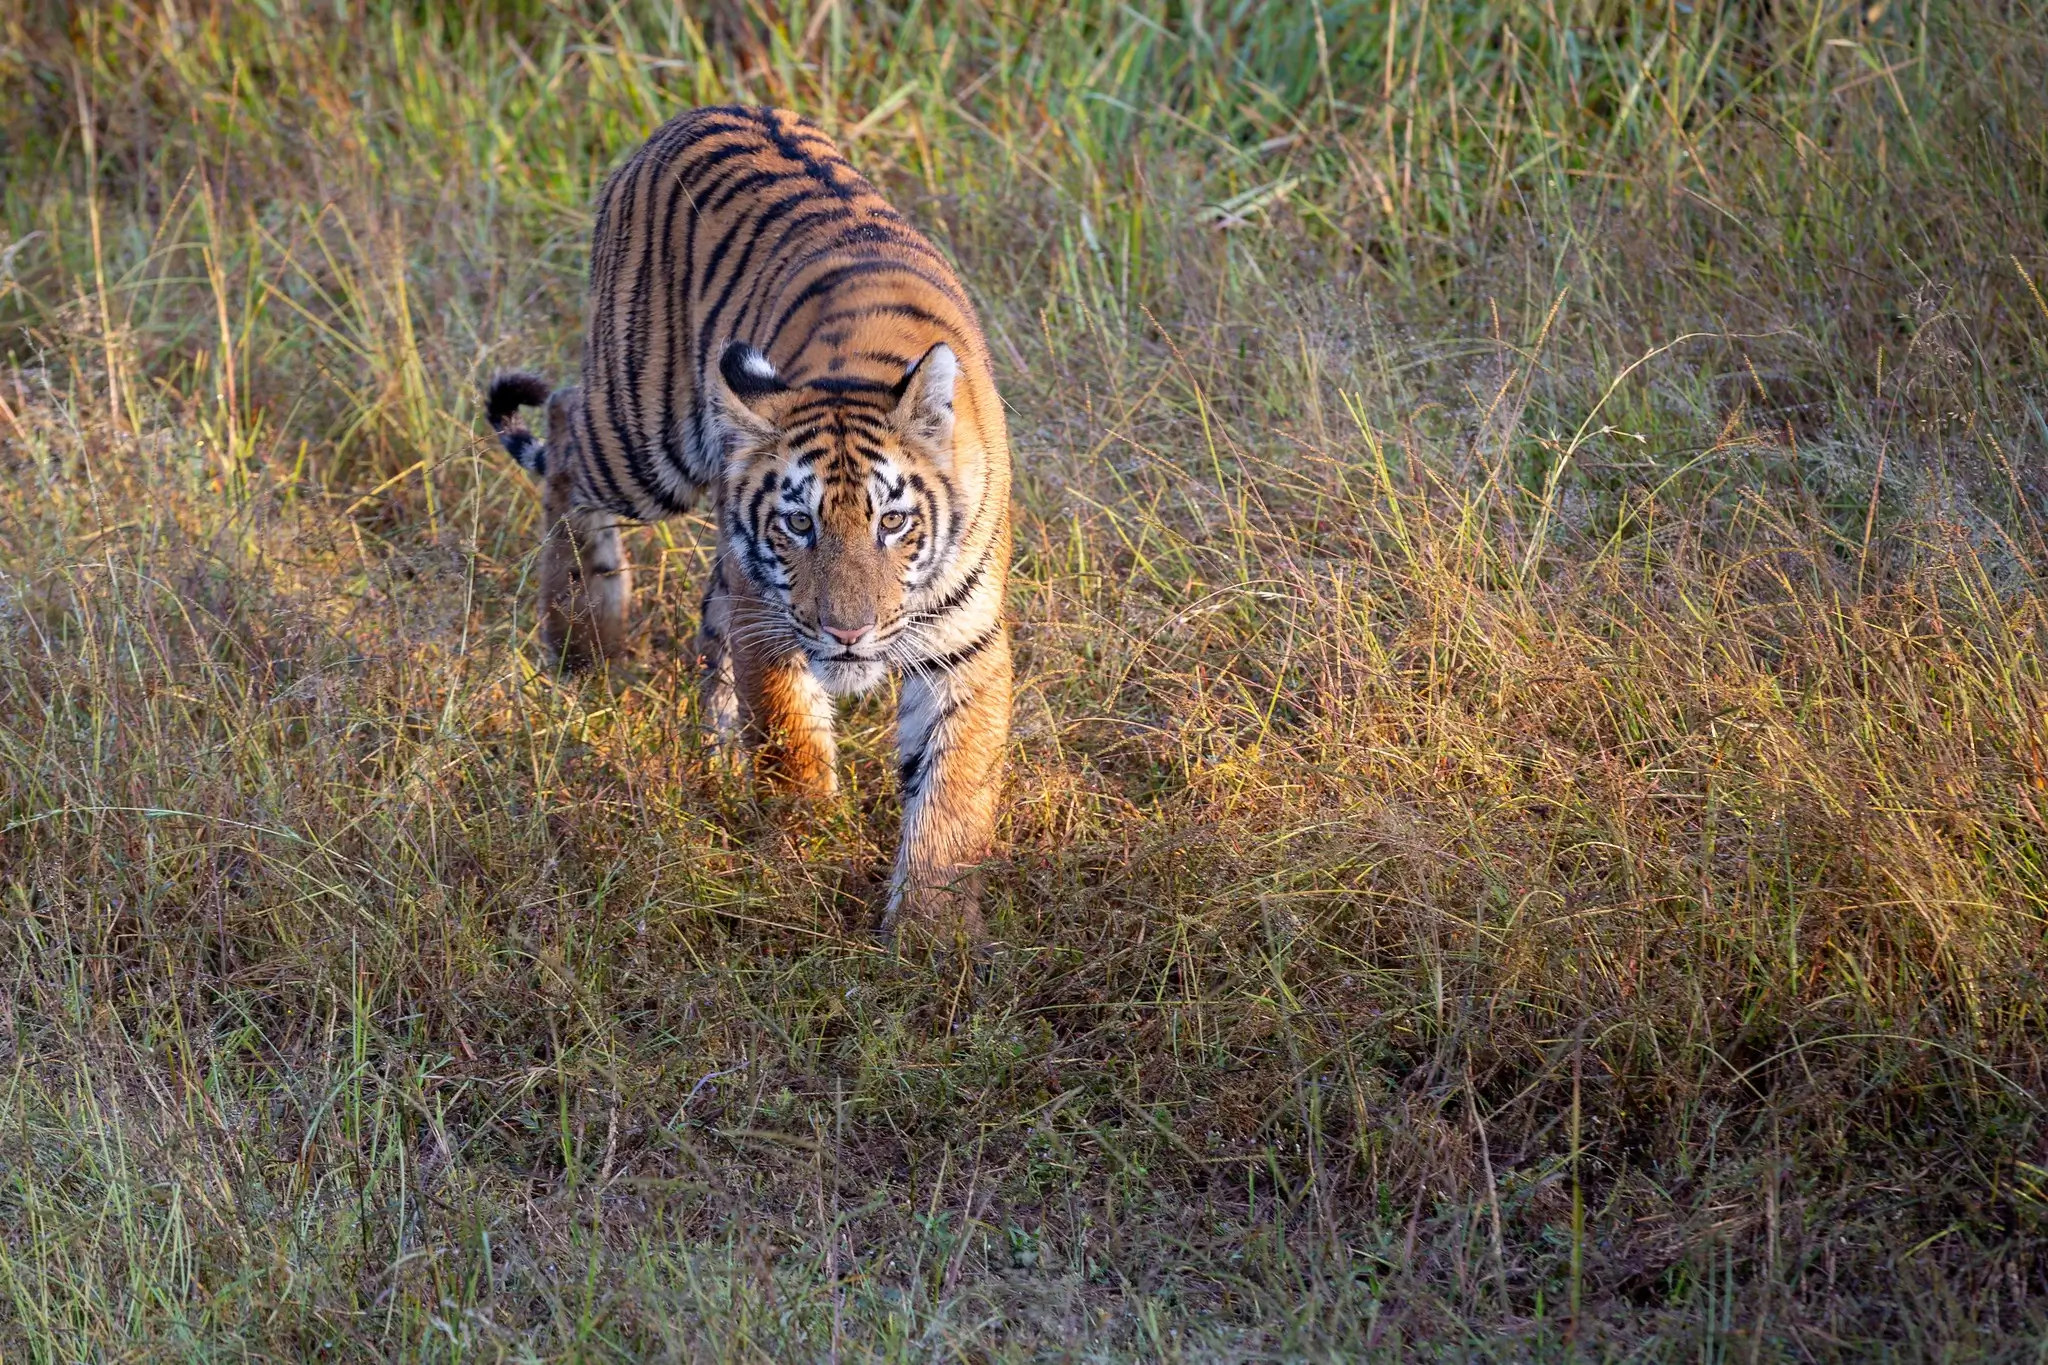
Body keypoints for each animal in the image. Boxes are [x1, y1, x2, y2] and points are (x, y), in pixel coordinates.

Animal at [481, 109, 1007, 941]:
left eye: (893, 521)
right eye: (798, 522)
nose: (849, 633)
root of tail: (687, 118)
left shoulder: (966, 644)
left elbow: (952, 796)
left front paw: (931, 936)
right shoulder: (770, 616)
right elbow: (790, 741)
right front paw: (809, 850)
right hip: (644, 438)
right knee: (563, 428)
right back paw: (583, 634)